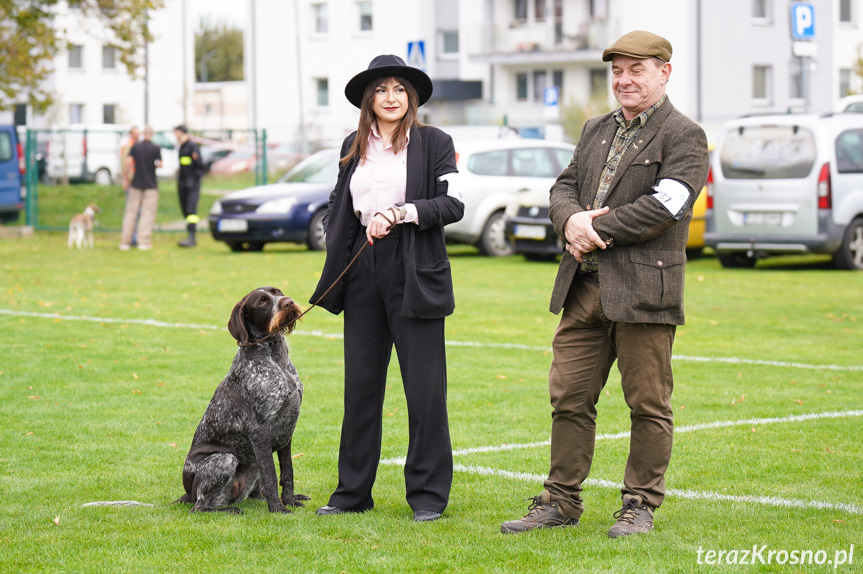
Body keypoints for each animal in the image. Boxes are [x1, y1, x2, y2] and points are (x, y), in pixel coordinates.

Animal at [176, 288, 310, 516]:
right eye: (262, 302)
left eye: (277, 292)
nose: (289, 302)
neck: (274, 357)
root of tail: (186, 493)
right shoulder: (260, 431)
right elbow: (271, 476)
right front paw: (277, 508)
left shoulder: (287, 430)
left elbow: (287, 472)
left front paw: (290, 500)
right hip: (225, 459)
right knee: (200, 507)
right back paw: (230, 510)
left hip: (252, 463)